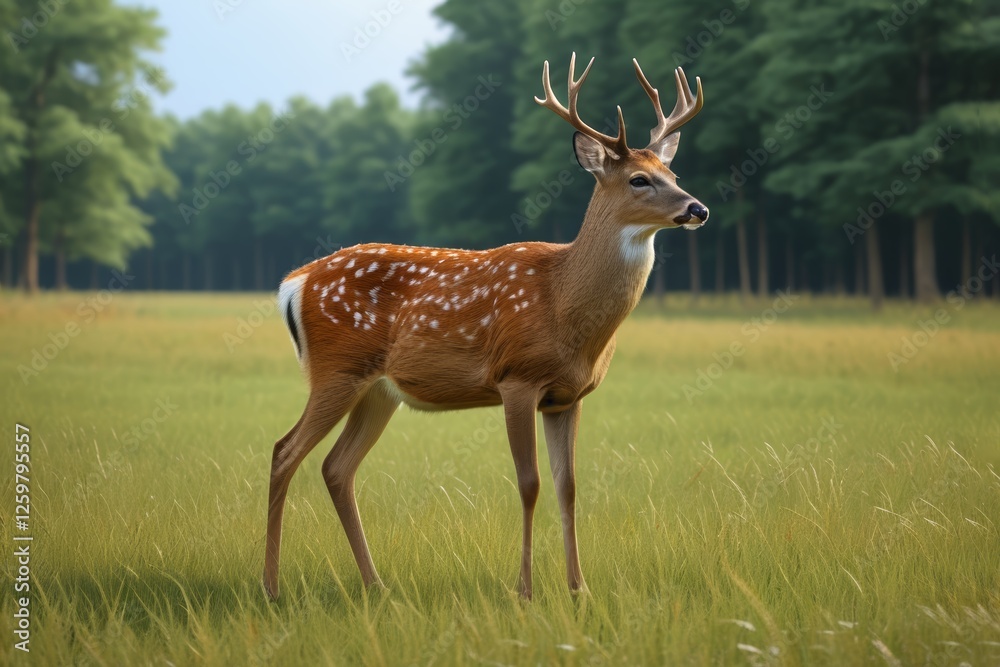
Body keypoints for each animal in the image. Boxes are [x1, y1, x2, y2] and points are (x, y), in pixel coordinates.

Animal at [263, 53, 707, 601]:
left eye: (672, 170)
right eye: (639, 180)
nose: (698, 208)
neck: (562, 301)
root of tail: (294, 282)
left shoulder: (568, 396)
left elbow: (568, 486)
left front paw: (579, 590)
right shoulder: (516, 377)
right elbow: (529, 483)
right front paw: (525, 591)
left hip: (378, 389)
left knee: (336, 467)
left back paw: (376, 585)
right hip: (336, 368)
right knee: (284, 452)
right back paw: (271, 586)